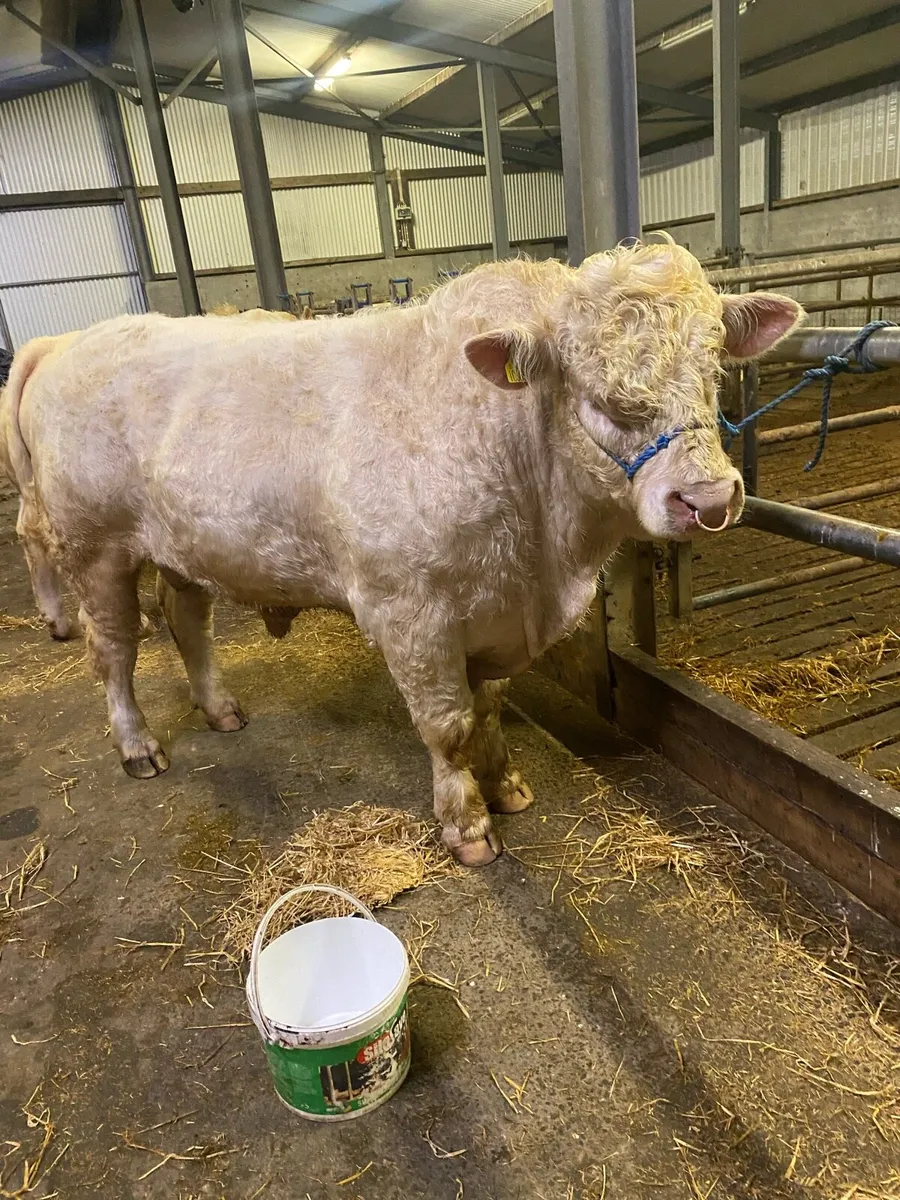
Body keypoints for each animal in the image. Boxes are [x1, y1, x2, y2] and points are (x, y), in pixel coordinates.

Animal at [4, 242, 802, 864]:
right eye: (601, 395)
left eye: (714, 369)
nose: (709, 499)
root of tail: (70, 340)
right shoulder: (411, 613)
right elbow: (448, 725)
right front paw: (468, 824)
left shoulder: (494, 612)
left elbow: (489, 708)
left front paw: (505, 785)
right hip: (94, 547)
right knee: (114, 651)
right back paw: (137, 745)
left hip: (183, 543)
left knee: (185, 620)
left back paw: (220, 707)